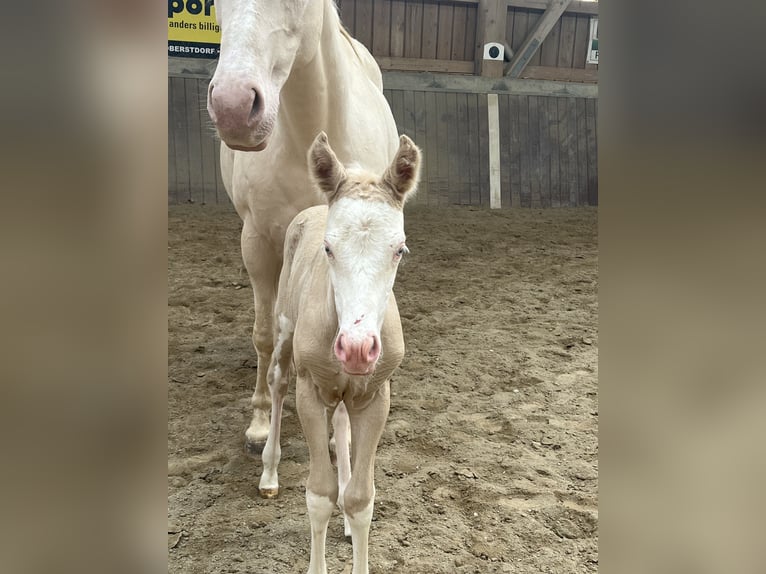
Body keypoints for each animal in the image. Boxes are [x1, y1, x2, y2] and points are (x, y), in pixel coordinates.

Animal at [257, 132, 420, 574]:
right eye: (328, 249)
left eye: (400, 249)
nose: (357, 347)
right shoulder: (311, 392)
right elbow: (318, 495)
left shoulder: (375, 396)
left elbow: (361, 498)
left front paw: (351, 510)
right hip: (283, 328)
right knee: (276, 382)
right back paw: (269, 473)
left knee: (343, 420)